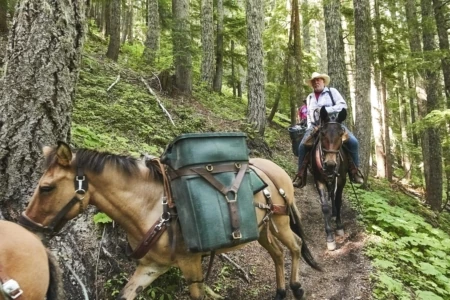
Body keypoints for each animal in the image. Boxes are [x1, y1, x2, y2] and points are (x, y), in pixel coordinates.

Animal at [18, 134, 320, 300]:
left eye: (46, 188)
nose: (26, 226)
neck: (153, 208)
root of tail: (275, 169)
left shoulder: (192, 266)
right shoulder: (151, 267)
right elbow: (125, 294)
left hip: (280, 222)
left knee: (295, 246)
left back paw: (296, 287)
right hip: (262, 229)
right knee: (277, 253)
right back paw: (280, 292)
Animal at [310, 107, 352, 251]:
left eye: (340, 134)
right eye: (322, 134)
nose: (330, 164)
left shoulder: (341, 179)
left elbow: (338, 201)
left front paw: (339, 226)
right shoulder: (319, 180)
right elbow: (325, 207)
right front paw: (330, 238)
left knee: (334, 195)